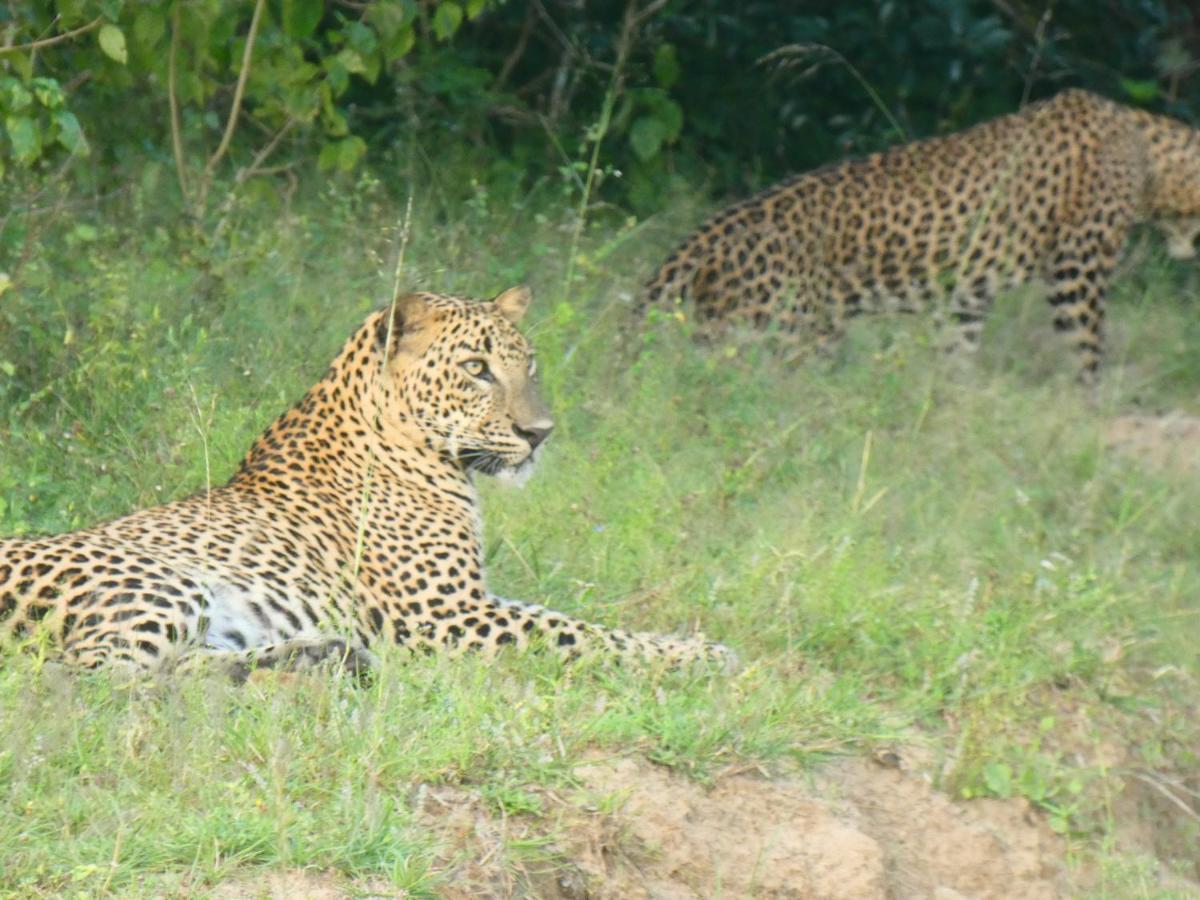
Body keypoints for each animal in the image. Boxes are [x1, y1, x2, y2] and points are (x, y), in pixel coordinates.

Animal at [0, 289, 734, 676]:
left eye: (529, 364)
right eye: (476, 368)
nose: (540, 433)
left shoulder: (474, 598)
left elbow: (570, 616)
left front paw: (694, 642)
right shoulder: (446, 615)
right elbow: (582, 632)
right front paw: (701, 653)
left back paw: (320, 652)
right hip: (159, 581)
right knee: (97, 683)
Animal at [643, 90, 1200, 384]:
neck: (1153, 159)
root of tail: (701, 241)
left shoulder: (964, 301)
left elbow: (957, 359)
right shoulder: (1078, 272)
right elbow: (1086, 353)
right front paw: (1085, 414)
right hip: (770, 334)